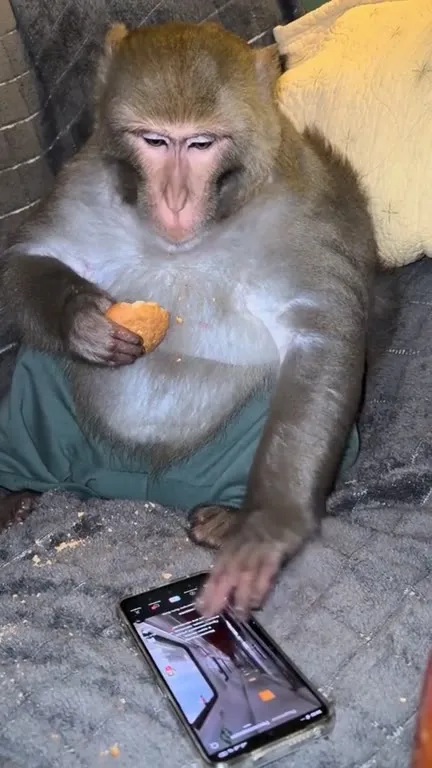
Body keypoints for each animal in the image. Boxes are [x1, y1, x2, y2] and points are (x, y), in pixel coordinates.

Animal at [0, 21, 380, 618]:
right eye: (155, 141)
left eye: (201, 143)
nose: (175, 200)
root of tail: (141, 487)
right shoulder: (81, 182)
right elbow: (24, 260)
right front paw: (84, 322)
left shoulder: (302, 217)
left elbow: (322, 340)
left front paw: (269, 526)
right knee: (39, 365)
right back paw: (14, 488)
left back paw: (228, 517)